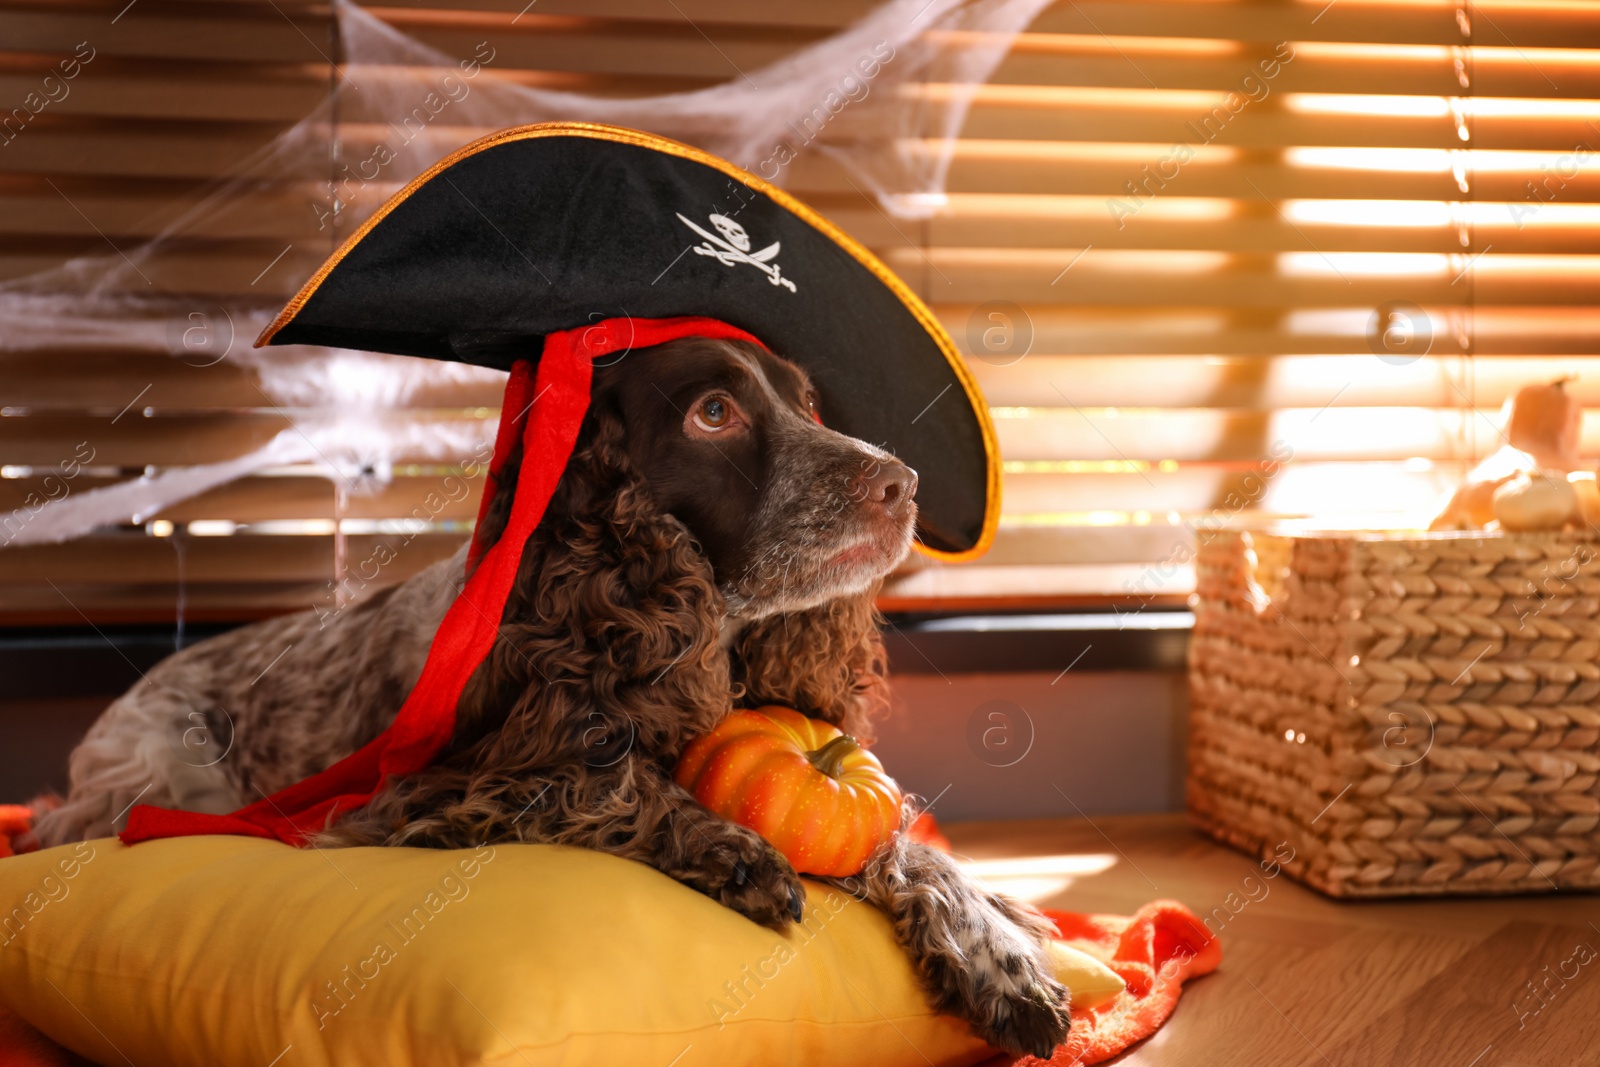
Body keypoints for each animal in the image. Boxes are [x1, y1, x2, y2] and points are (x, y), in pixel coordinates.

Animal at [31, 335, 1068, 1062]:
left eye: (808, 402)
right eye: (715, 411)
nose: (902, 484)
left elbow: (900, 840)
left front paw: (1000, 942)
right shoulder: (411, 799)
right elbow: (606, 779)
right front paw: (730, 848)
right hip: (158, 775)